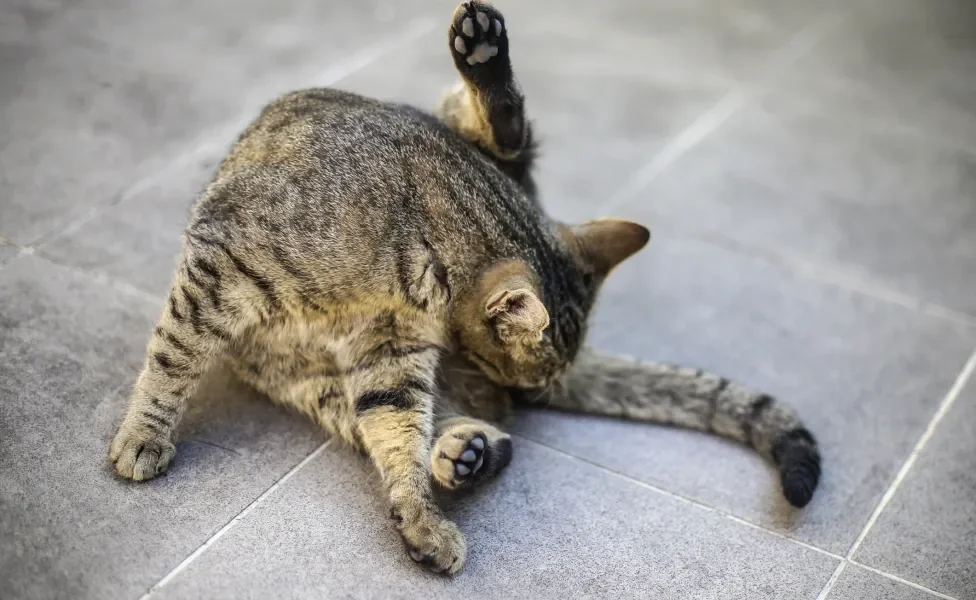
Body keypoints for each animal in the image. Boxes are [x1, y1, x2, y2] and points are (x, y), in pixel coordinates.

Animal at [110, 2, 820, 576]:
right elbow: (175, 355)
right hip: (308, 377)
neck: (409, 263)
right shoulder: (223, 261)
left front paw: (420, 518)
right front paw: (144, 435)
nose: (527, 394)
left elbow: (397, 427)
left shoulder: (388, 350)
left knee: (505, 132)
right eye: (520, 372)